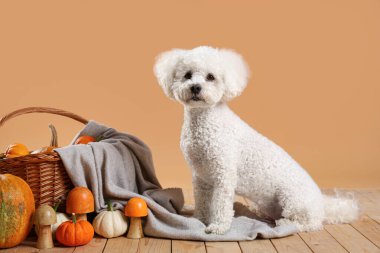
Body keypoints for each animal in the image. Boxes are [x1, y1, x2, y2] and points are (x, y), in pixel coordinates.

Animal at [153, 46, 358, 235]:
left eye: (210, 77)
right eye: (187, 75)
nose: (195, 87)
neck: (204, 122)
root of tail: (322, 203)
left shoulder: (223, 175)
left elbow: (220, 205)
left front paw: (218, 227)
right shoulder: (200, 176)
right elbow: (202, 201)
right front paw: (199, 219)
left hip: (293, 199)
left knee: (310, 224)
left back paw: (286, 223)